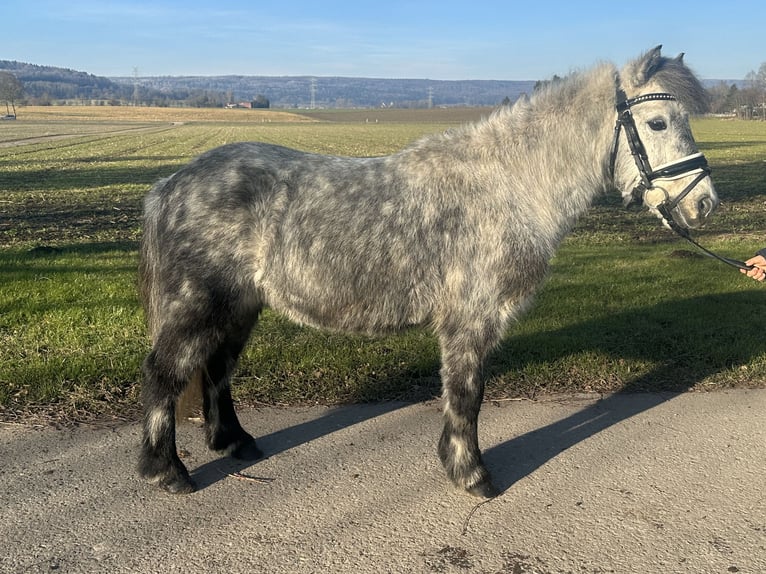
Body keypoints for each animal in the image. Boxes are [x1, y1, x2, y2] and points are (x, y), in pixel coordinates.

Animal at [138, 48, 720, 500]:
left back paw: (235, 443)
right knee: (164, 375)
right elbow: (467, 395)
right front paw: (472, 475)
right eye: (658, 122)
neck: (508, 185)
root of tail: (169, 185)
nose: (705, 205)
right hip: (198, 305)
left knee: (216, 370)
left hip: (240, 306)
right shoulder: (471, 320)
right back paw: (166, 472)